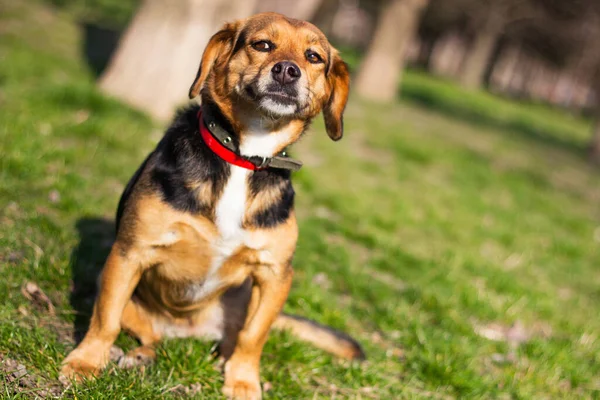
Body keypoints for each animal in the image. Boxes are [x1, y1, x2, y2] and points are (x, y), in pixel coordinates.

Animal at [61, 12, 364, 400]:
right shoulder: (129, 253)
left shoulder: (275, 275)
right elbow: (105, 319)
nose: (287, 70)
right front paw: (85, 363)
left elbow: (253, 337)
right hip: (117, 282)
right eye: (262, 44)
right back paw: (139, 356)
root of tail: (187, 332)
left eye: (313, 57)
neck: (245, 156)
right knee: (149, 335)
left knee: (230, 338)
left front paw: (243, 381)